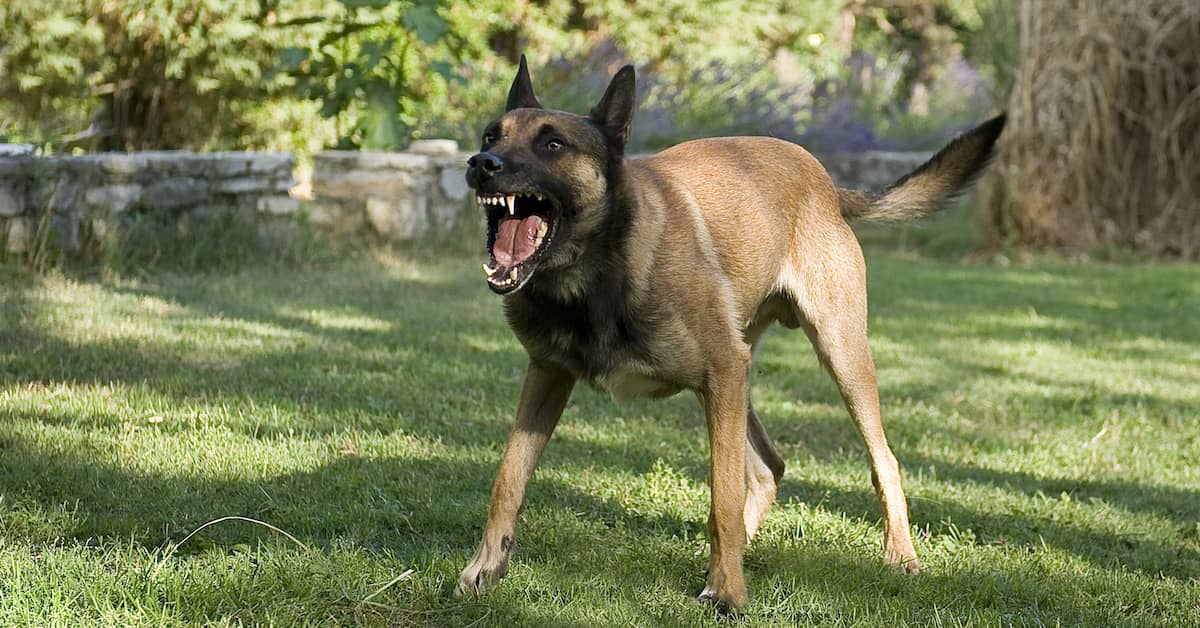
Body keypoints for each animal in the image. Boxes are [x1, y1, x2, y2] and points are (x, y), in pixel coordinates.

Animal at [456, 57, 1003, 609]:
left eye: (553, 144)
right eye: (490, 135)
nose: (482, 163)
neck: (598, 272)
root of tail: (825, 182)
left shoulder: (721, 373)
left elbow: (722, 495)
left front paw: (728, 592)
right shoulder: (548, 377)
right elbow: (508, 479)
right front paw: (484, 568)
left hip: (837, 356)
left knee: (881, 460)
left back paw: (898, 555)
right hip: (735, 380)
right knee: (769, 467)